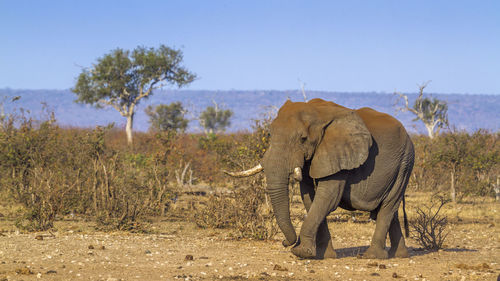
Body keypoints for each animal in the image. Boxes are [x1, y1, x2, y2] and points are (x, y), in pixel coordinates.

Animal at [227, 98, 414, 258]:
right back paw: (400, 255)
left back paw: (372, 256)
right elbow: (309, 197)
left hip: (404, 164)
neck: (317, 112)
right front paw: (325, 256)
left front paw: (301, 253)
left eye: (303, 139)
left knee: (387, 207)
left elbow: (327, 198)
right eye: (269, 134)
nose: (285, 242)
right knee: (391, 210)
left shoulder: (338, 156)